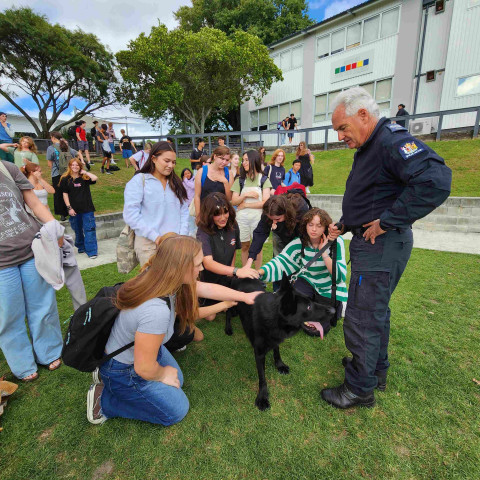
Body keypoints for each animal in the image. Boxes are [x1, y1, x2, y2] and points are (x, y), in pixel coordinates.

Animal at [227, 276, 336, 410]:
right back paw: (228, 328)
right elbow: (262, 377)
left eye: (312, 301)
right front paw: (262, 397)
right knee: (227, 312)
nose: (334, 310)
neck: (274, 317)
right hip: (232, 304)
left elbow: (277, 351)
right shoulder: (259, 353)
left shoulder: (276, 338)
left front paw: (280, 365)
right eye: (308, 307)